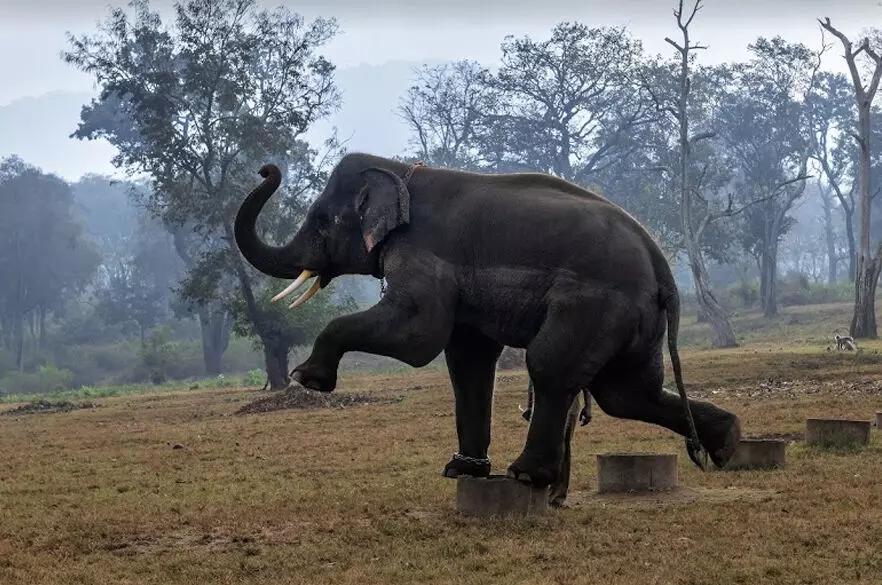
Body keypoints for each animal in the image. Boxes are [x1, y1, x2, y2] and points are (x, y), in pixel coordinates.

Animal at [230, 152, 740, 488]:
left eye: (321, 220)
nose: (265, 169)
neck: (400, 170)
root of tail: (662, 268)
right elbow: (467, 360)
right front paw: (462, 471)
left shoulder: (426, 254)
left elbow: (417, 338)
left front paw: (310, 379)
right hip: (635, 320)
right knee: (626, 392)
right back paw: (728, 444)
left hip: (596, 305)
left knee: (553, 367)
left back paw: (527, 475)